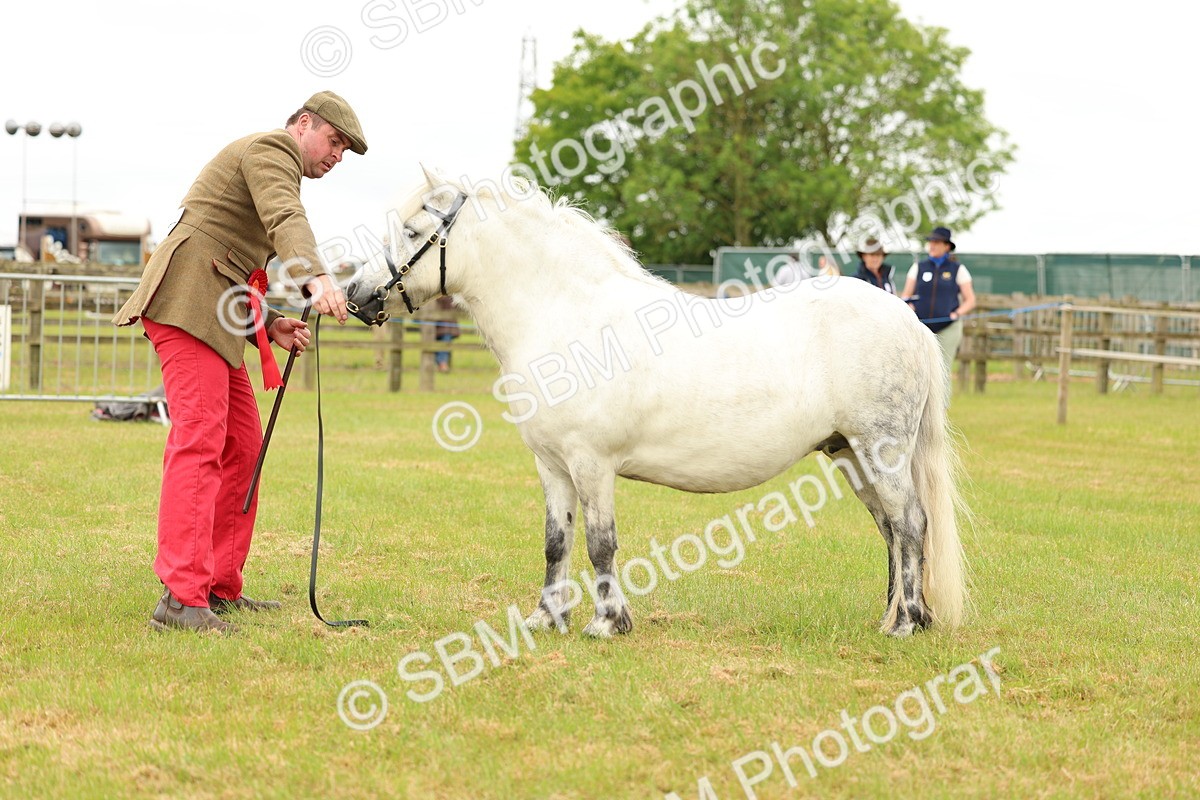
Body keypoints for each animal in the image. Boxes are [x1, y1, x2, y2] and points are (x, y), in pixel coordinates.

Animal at [345, 168, 966, 638]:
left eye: (412, 230)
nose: (356, 294)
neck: (567, 316)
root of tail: (907, 319)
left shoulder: (592, 463)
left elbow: (600, 543)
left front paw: (607, 623)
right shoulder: (552, 466)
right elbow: (555, 542)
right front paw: (546, 618)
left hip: (882, 451)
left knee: (910, 523)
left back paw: (907, 624)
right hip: (851, 455)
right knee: (891, 530)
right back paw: (892, 617)